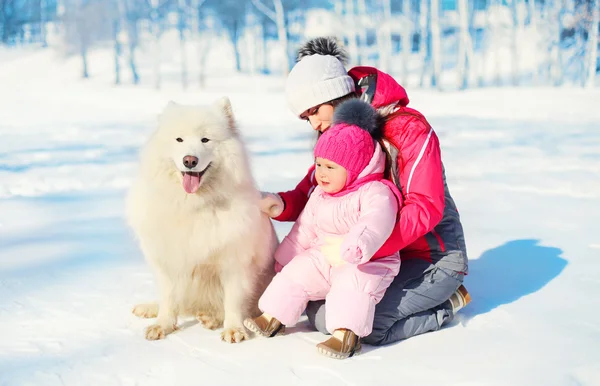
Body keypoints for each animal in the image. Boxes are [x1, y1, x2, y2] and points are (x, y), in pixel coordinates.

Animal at [127, 97, 278, 344]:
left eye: (205, 139)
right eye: (179, 139)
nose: (190, 160)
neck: (193, 206)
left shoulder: (234, 264)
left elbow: (233, 301)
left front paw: (234, 330)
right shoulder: (168, 261)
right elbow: (168, 299)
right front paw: (162, 325)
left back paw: (210, 318)